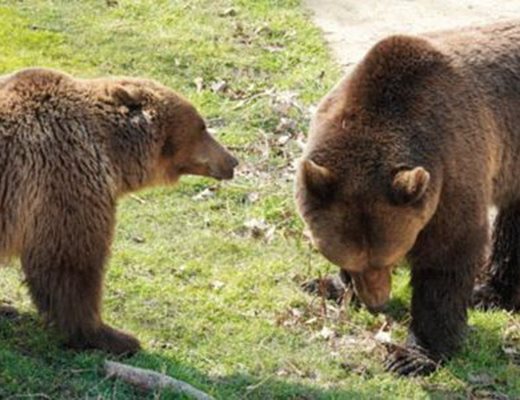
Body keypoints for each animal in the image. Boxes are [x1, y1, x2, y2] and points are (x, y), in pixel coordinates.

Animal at [0, 67, 238, 354]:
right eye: (202, 127)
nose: (232, 161)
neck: (112, 152)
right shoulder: (63, 180)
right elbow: (70, 263)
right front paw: (113, 336)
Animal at [294, 20, 520, 376]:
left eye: (389, 257)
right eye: (352, 261)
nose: (376, 301)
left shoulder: (452, 168)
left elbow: (447, 258)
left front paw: (413, 355)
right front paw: (328, 285)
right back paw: (490, 292)